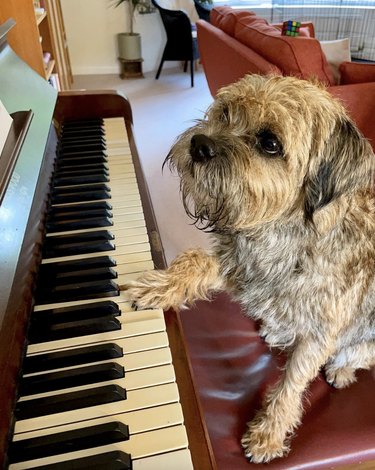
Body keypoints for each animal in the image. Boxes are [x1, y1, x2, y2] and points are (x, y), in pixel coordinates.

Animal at [122, 75, 374, 464]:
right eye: (224, 112)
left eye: (270, 143)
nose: (199, 144)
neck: (281, 233)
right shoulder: (239, 264)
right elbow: (193, 261)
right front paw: (158, 287)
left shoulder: (319, 334)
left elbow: (292, 383)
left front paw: (269, 433)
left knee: (354, 354)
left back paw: (341, 368)